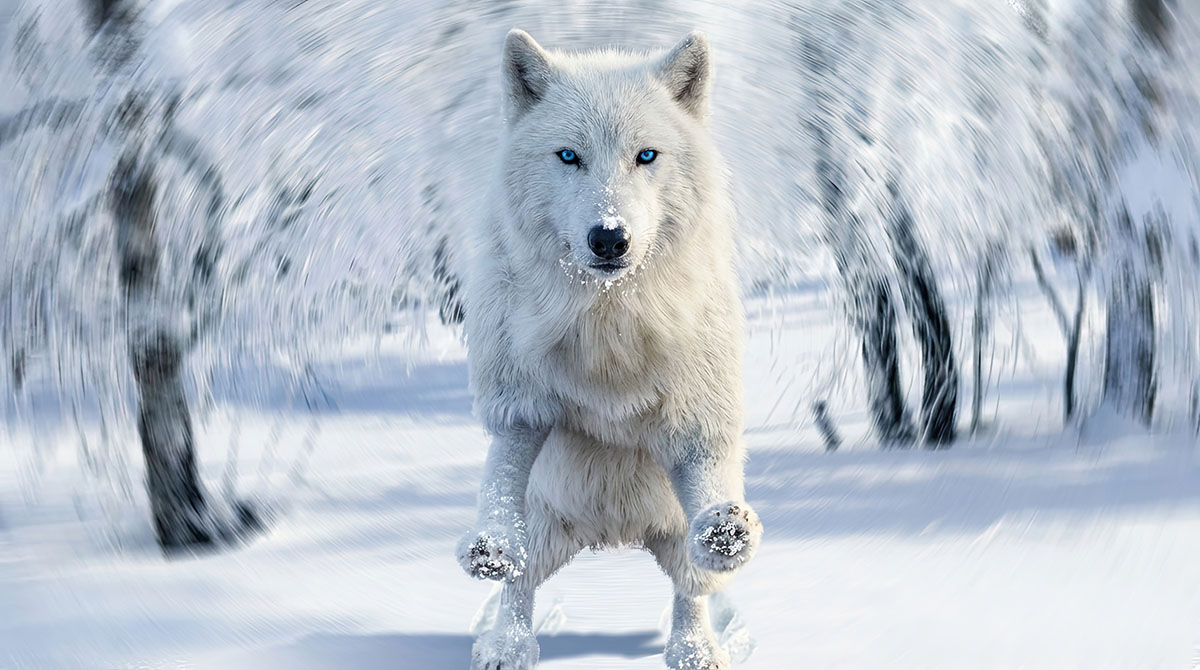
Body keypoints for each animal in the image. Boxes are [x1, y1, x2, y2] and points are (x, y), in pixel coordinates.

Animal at [456, 28, 762, 670]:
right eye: (569, 156)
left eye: (645, 156)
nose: (609, 237)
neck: (608, 321)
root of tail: (615, 534)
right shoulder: (519, 409)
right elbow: (500, 480)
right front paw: (492, 543)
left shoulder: (698, 421)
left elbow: (708, 477)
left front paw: (725, 532)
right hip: (547, 525)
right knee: (519, 584)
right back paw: (505, 646)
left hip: (673, 533)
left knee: (692, 585)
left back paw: (697, 645)